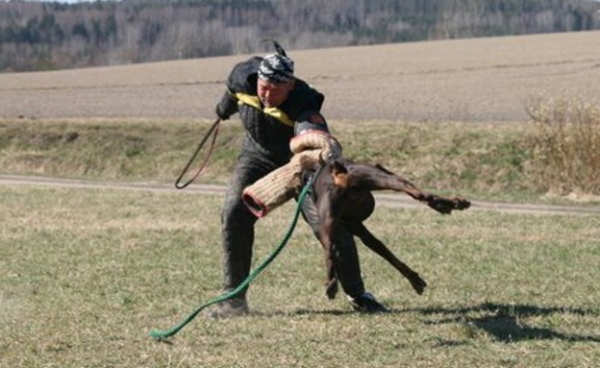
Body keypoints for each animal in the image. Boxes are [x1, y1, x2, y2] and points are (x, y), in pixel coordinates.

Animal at [308, 158, 472, 300]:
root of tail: (339, 174)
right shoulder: (358, 227)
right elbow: (388, 254)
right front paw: (415, 279)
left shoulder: (357, 228)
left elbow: (387, 254)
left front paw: (414, 279)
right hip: (383, 179)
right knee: (419, 194)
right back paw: (449, 204)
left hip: (329, 217)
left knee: (329, 247)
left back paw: (331, 284)